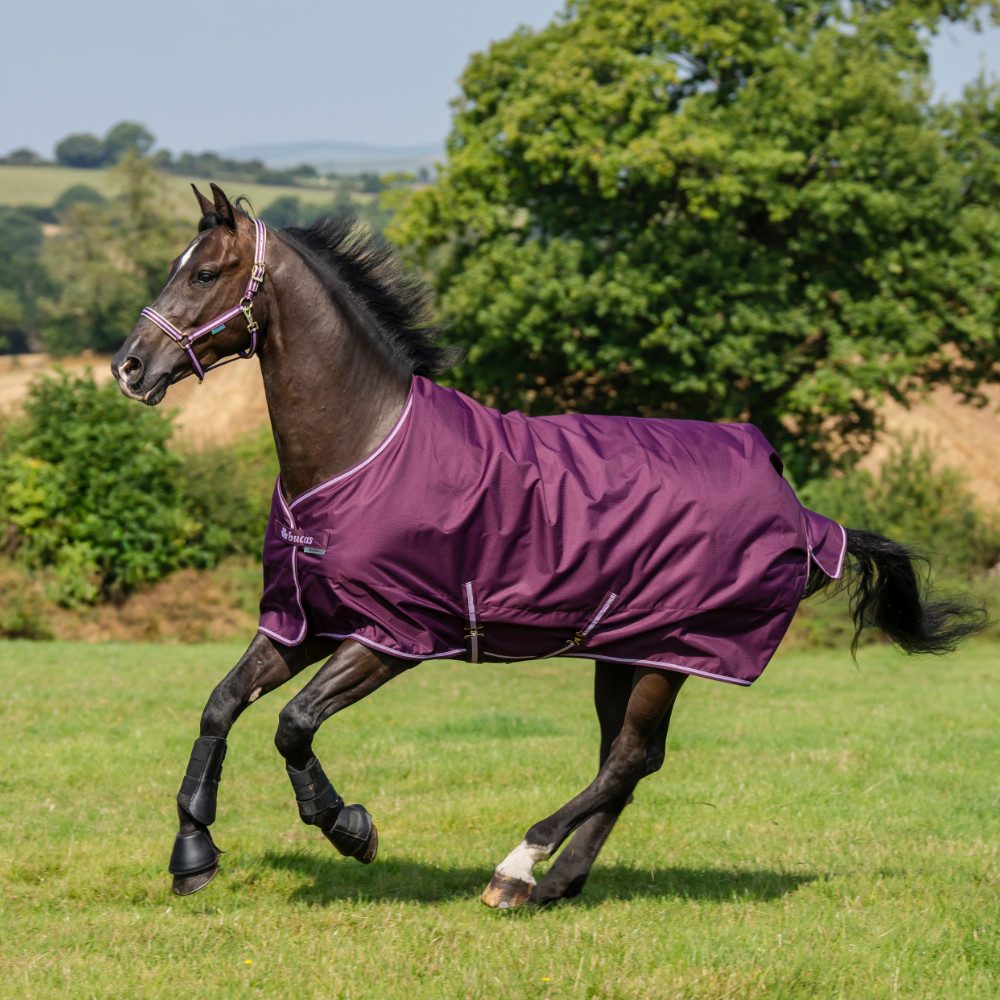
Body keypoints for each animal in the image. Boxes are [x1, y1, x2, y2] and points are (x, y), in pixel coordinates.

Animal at [111, 183, 985, 908]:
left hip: (674, 653)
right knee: (627, 762)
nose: (129, 367)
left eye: (204, 273)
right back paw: (556, 883)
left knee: (625, 761)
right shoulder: (304, 623)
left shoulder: (390, 638)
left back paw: (518, 868)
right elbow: (221, 705)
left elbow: (293, 724)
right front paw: (193, 856)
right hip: (625, 651)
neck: (361, 447)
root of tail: (805, 517)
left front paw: (349, 828)